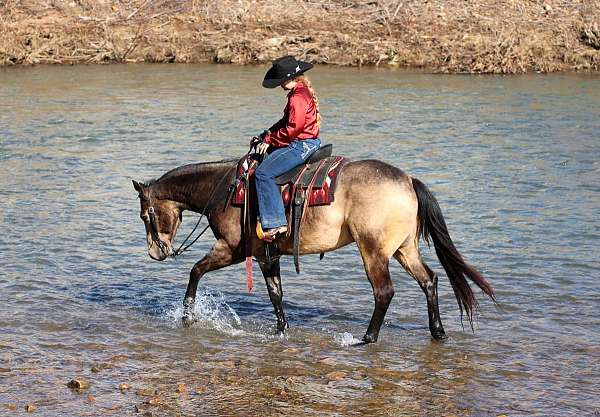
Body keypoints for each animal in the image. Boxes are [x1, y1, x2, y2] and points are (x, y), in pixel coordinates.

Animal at [134, 153, 494, 342]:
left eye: (145, 215)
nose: (156, 252)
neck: (225, 190)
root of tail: (408, 181)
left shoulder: (233, 250)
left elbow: (195, 272)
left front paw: (187, 315)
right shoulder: (266, 256)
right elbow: (275, 293)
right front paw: (281, 330)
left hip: (374, 251)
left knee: (384, 292)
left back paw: (368, 337)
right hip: (404, 249)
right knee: (429, 280)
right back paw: (438, 332)